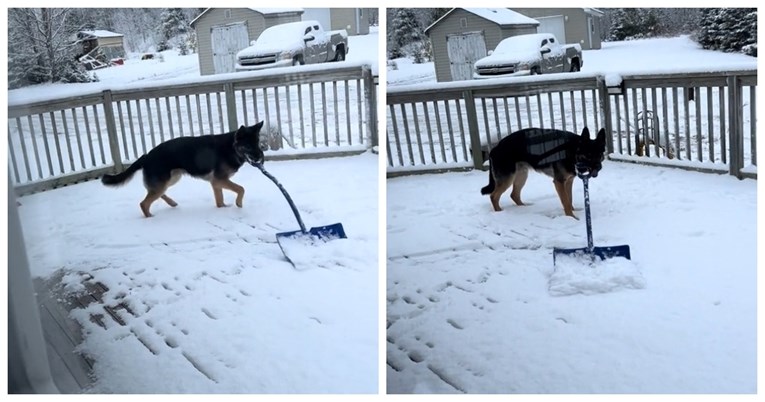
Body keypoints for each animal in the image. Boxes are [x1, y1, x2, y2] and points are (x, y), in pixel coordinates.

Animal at [100, 121, 268, 218]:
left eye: (257, 143)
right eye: (248, 146)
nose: (261, 157)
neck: (232, 147)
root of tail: (146, 156)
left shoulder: (216, 183)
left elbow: (220, 200)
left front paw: (222, 209)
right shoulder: (220, 180)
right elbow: (241, 188)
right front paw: (239, 204)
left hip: (172, 178)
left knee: (154, 193)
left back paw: (172, 203)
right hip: (166, 181)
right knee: (144, 203)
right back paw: (150, 218)